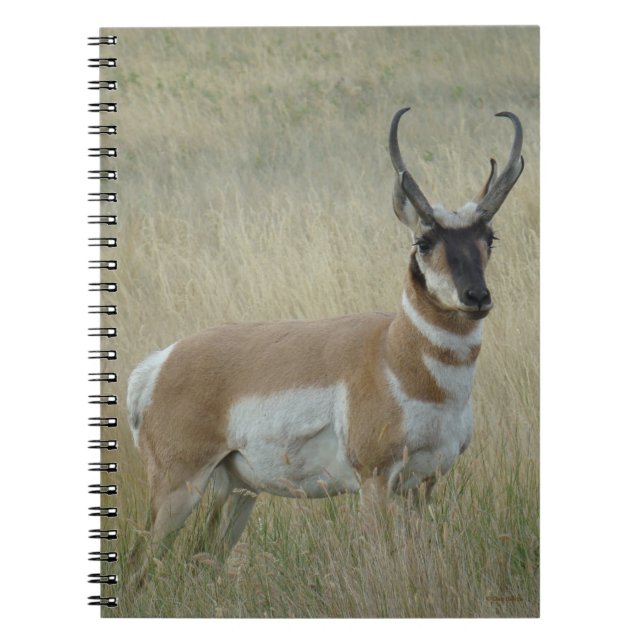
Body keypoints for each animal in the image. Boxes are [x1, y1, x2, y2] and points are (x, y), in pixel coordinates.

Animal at [127, 107, 524, 563]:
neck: (394, 352)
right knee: (143, 562)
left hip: (237, 491)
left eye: (489, 237)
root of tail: (159, 363)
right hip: (178, 487)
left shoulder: (424, 483)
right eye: (424, 241)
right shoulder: (375, 479)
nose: (476, 296)